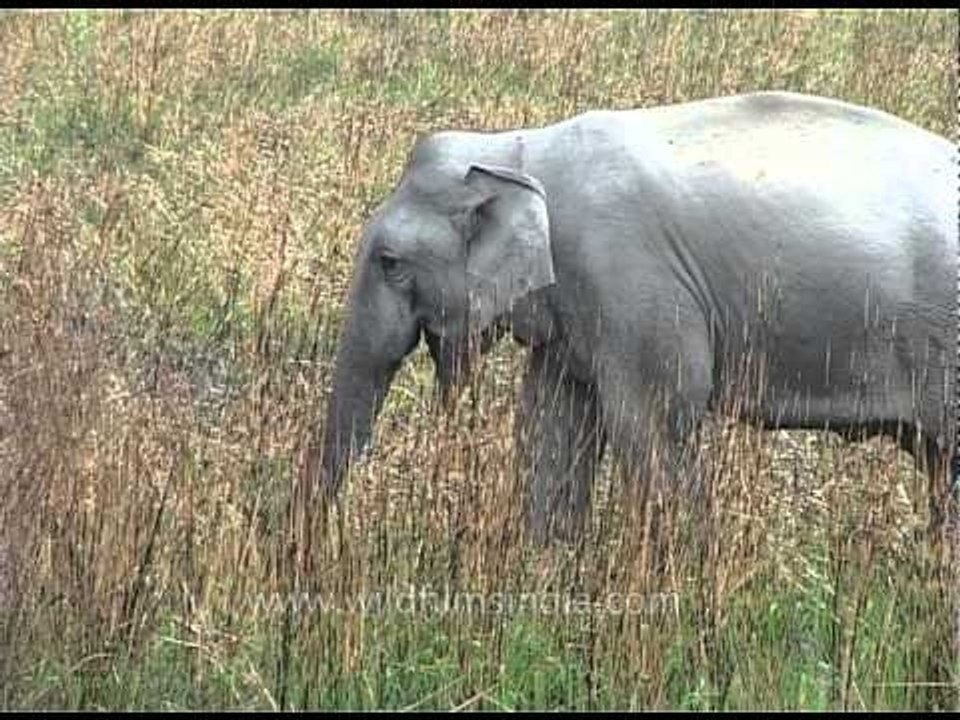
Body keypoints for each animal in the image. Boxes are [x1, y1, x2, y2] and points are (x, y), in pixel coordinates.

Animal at [306, 91, 957, 543]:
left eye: (390, 263)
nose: (309, 549)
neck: (519, 148)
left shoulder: (628, 278)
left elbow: (653, 421)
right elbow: (552, 425)